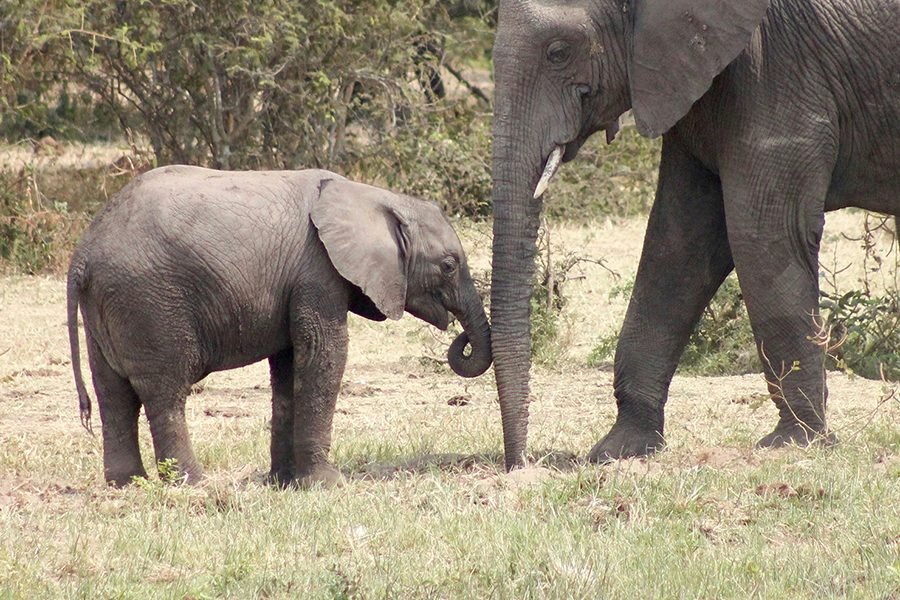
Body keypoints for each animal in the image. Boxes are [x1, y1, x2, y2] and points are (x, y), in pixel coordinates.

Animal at [67, 165, 492, 488]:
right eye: (449, 265)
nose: (462, 338)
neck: (370, 197)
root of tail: (83, 252)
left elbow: (288, 368)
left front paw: (284, 482)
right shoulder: (317, 270)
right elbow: (324, 353)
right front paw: (327, 484)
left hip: (110, 305)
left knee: (113, 394)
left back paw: (127, 484)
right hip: (150, 302)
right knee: (164, 391)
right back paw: (193, 484)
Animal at [492, 0, 900, 468]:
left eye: (558, 52)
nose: (520, 463)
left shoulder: (778, 68)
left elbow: (762, 234)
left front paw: (796, 443)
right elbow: (678, 242)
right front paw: (620, 450)